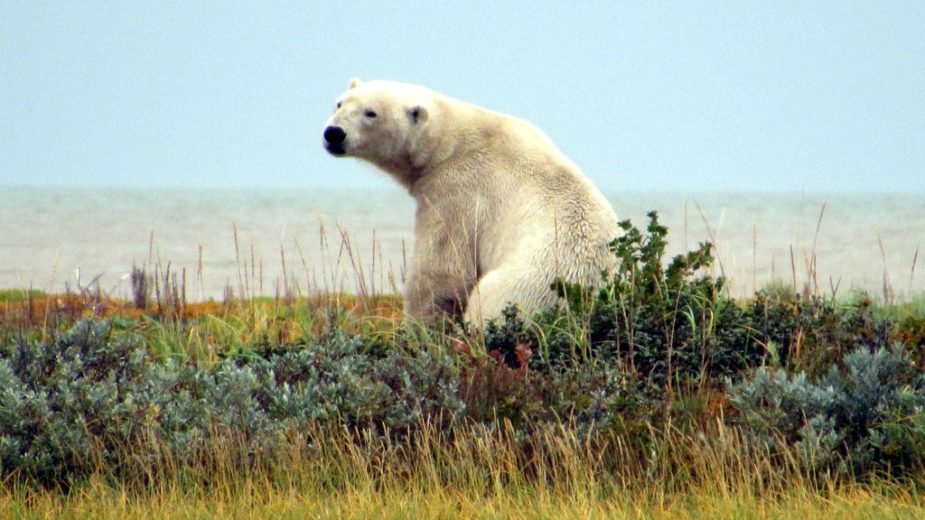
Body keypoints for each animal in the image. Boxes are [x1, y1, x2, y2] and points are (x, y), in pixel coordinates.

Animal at [323, 79, 620, 326]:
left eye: (370, 113)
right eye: (340, 102)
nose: (333, 133)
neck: (450, 142)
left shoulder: (456, 191)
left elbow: (441, 272)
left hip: (520, 289)